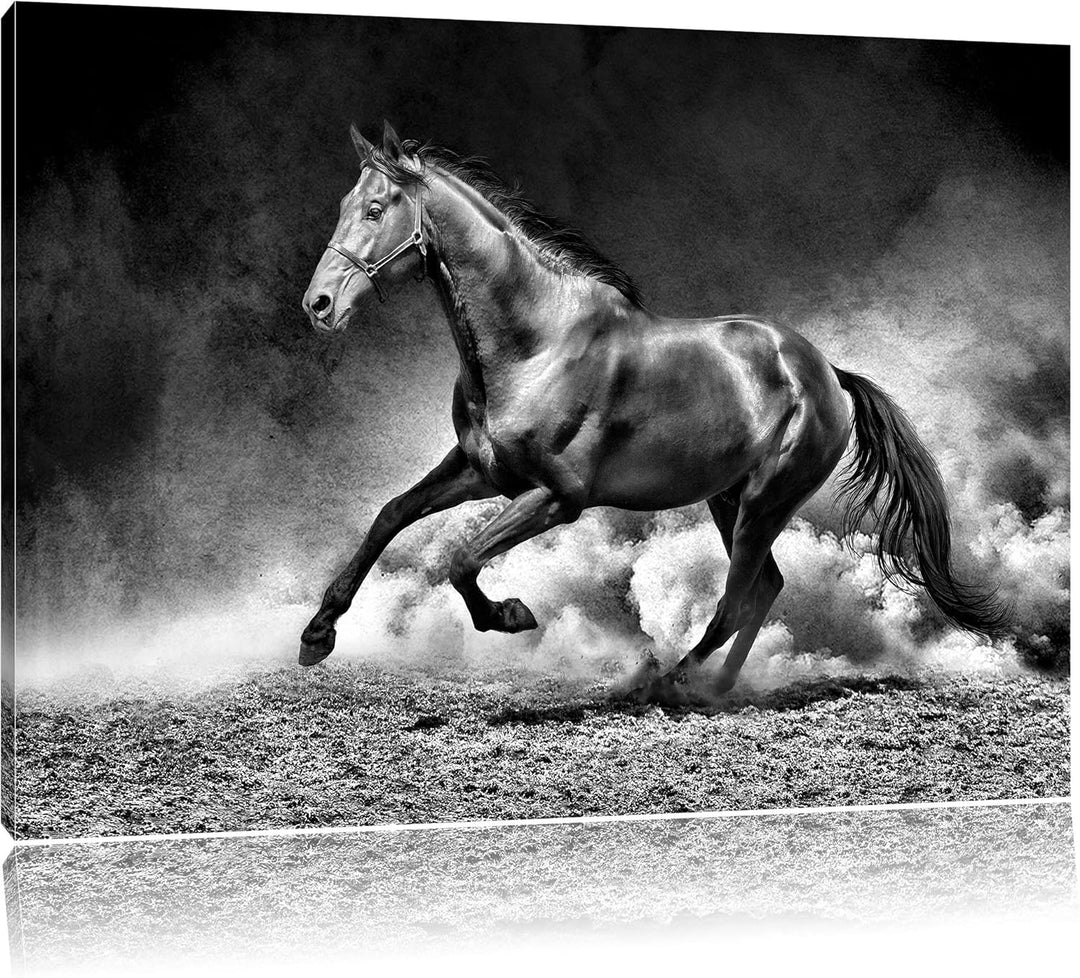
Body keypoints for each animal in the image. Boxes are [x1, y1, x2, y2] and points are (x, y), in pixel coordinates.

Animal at [298, 120, 1008, 699]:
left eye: (375, 208)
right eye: (345, 205)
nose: (319, 305)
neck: (533, 345)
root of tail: (828, 374)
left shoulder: (558, 496)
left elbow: (462, 558)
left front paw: (511, 615)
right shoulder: (482, 471)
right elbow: (392, 515)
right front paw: (317, 635)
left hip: (766, 502)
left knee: (735, 602)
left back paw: (670, 682)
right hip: (729, 499)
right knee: (764, 591)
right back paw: (716, 688)